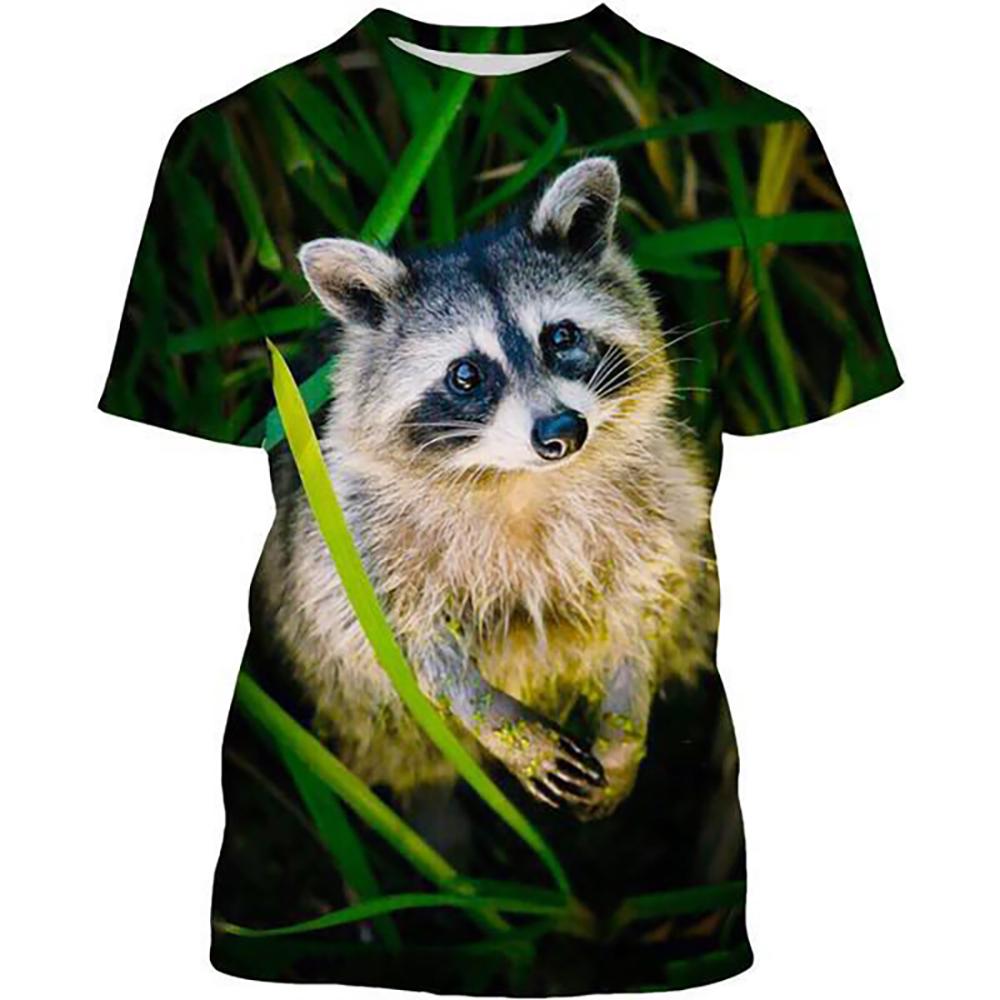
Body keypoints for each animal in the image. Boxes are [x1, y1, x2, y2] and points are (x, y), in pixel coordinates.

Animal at [255, 158, 714, 820]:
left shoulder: (661, 491)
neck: (519, 480)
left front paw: (626, 722)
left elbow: (651, 596)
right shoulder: (350, 534)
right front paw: (496, 720)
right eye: (466, 374)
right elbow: (392, 642)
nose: (561, 432)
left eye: (561, 337)